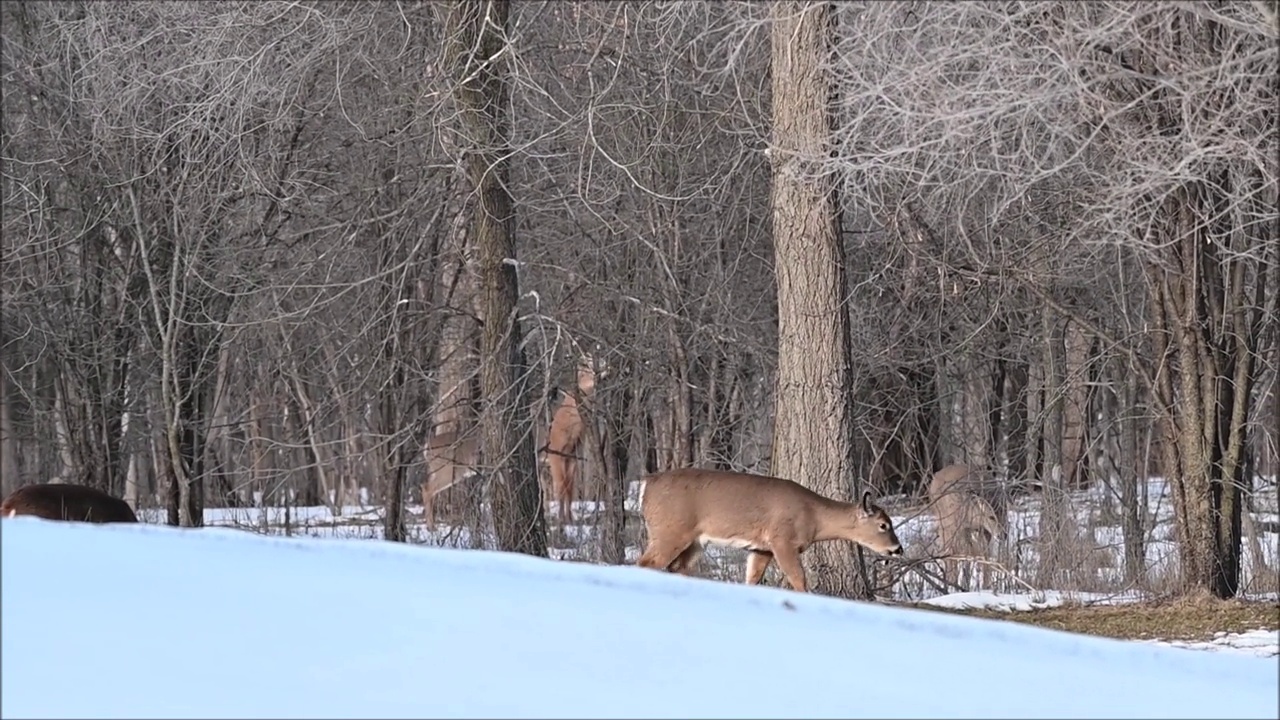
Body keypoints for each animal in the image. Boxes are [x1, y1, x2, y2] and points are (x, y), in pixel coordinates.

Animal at [540, 356, 599, 520]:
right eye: (585, 363)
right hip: (553, 461)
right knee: (557, 487)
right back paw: (558, 517)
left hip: (566, 461)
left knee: (565, 487)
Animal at [637, 468, 901, 591]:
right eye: (883, 525)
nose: (898, 548)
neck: (815, 518)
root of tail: (646, 484)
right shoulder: (782, 540)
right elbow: (799, 579)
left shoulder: (760, 548)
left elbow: (752, 578)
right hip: (671, 529)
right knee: (646, 563)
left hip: (694, 542)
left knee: (675, 567)